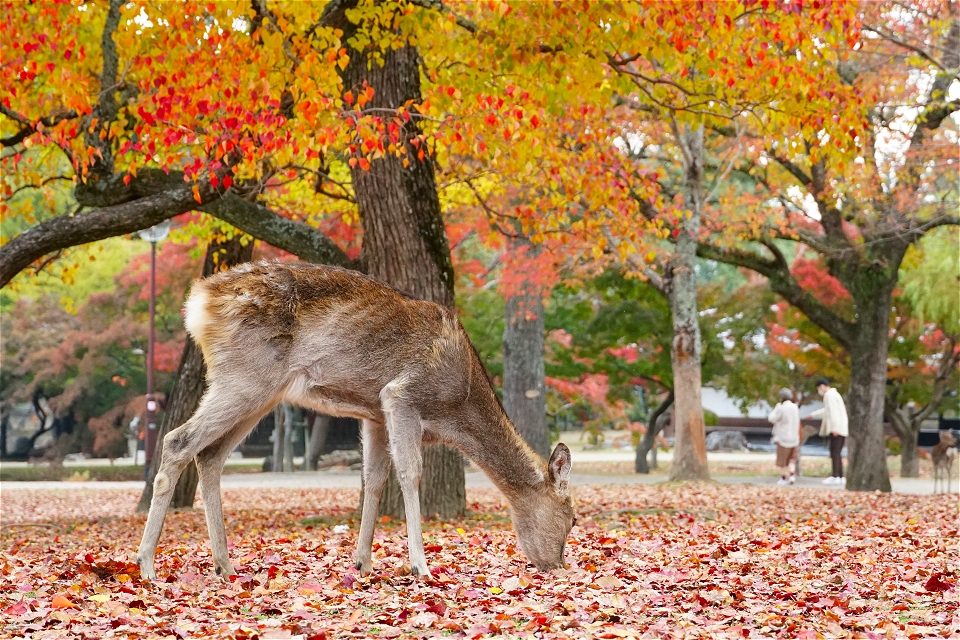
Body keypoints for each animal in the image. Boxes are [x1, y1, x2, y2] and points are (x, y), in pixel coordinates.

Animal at [133, 260, 568, 580]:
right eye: (569, 519)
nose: (558, 564)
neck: (456, 408)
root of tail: (198, 301)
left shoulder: (373, 413)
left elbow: (373, 479)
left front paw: (363, 562)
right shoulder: (402, 394)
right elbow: (410, 473)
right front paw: (420, 565)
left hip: (257, 390)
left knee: (209, 455)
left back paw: (224, 565)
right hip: (245, 377)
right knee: (176, 441)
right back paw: (148, 565)